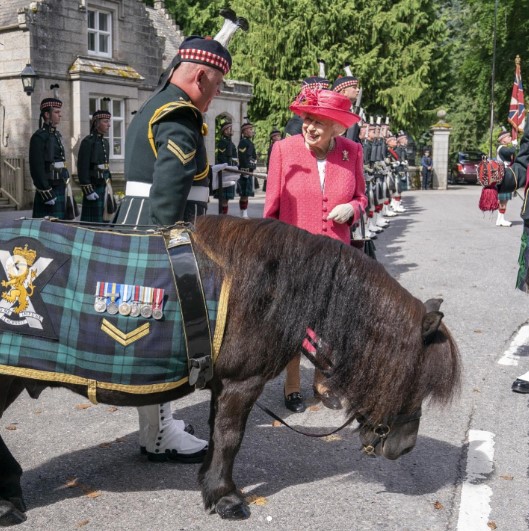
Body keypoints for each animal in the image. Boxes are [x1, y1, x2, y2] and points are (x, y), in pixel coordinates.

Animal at [0, 215, 458, 524]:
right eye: (416, 378)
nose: (404, 448)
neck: (271, 285)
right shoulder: (242, 383)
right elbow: (230, 437)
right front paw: (226, 498)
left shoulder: (224, 384)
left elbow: (218, 430)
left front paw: (209, 483)